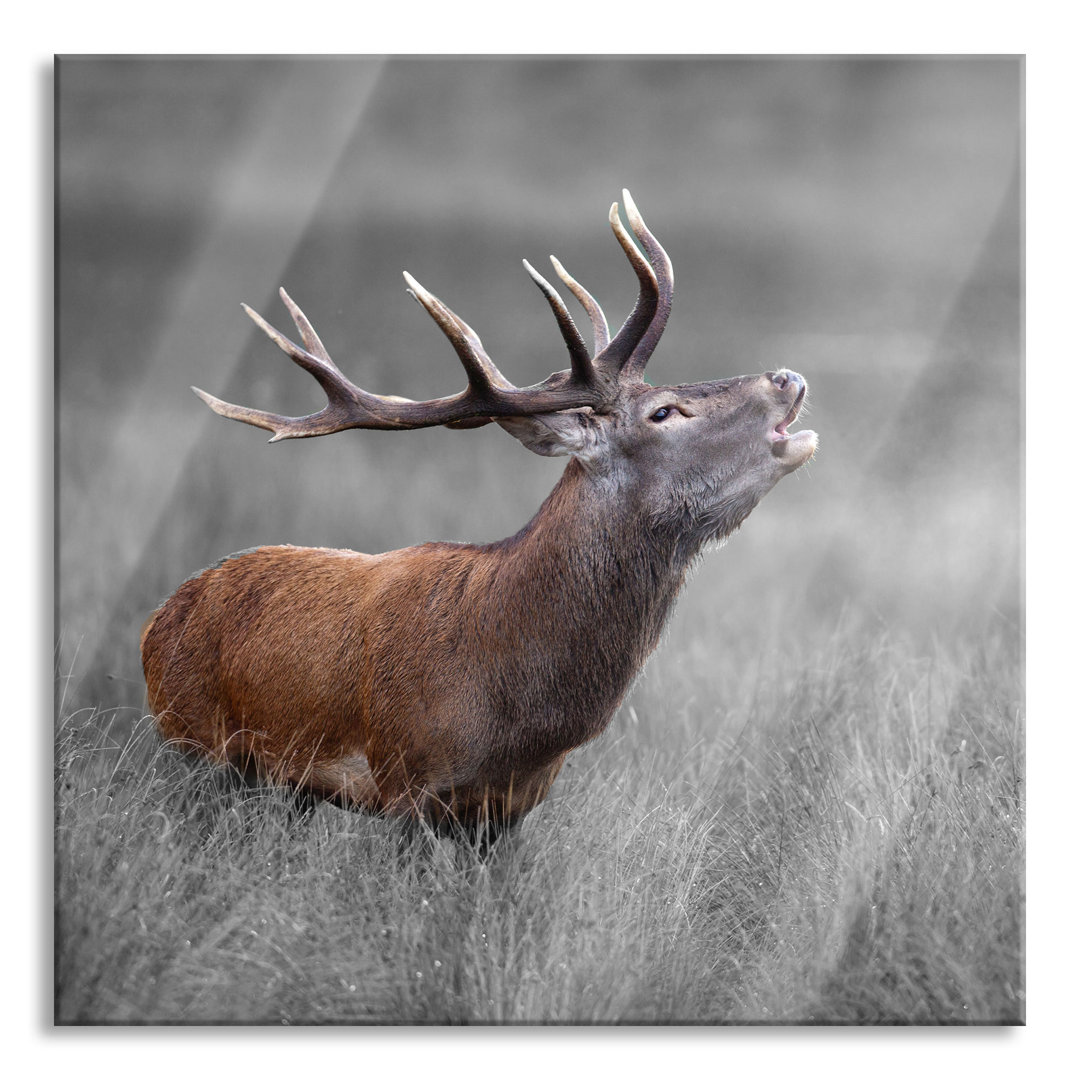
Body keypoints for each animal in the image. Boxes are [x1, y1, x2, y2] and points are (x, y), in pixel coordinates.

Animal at [143, 190, 816, 838]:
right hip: (193, 742)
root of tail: (157, 621)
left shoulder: (512, 809)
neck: (514, 710)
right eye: (665, 412)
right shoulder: (406, 780)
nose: (787, 376)